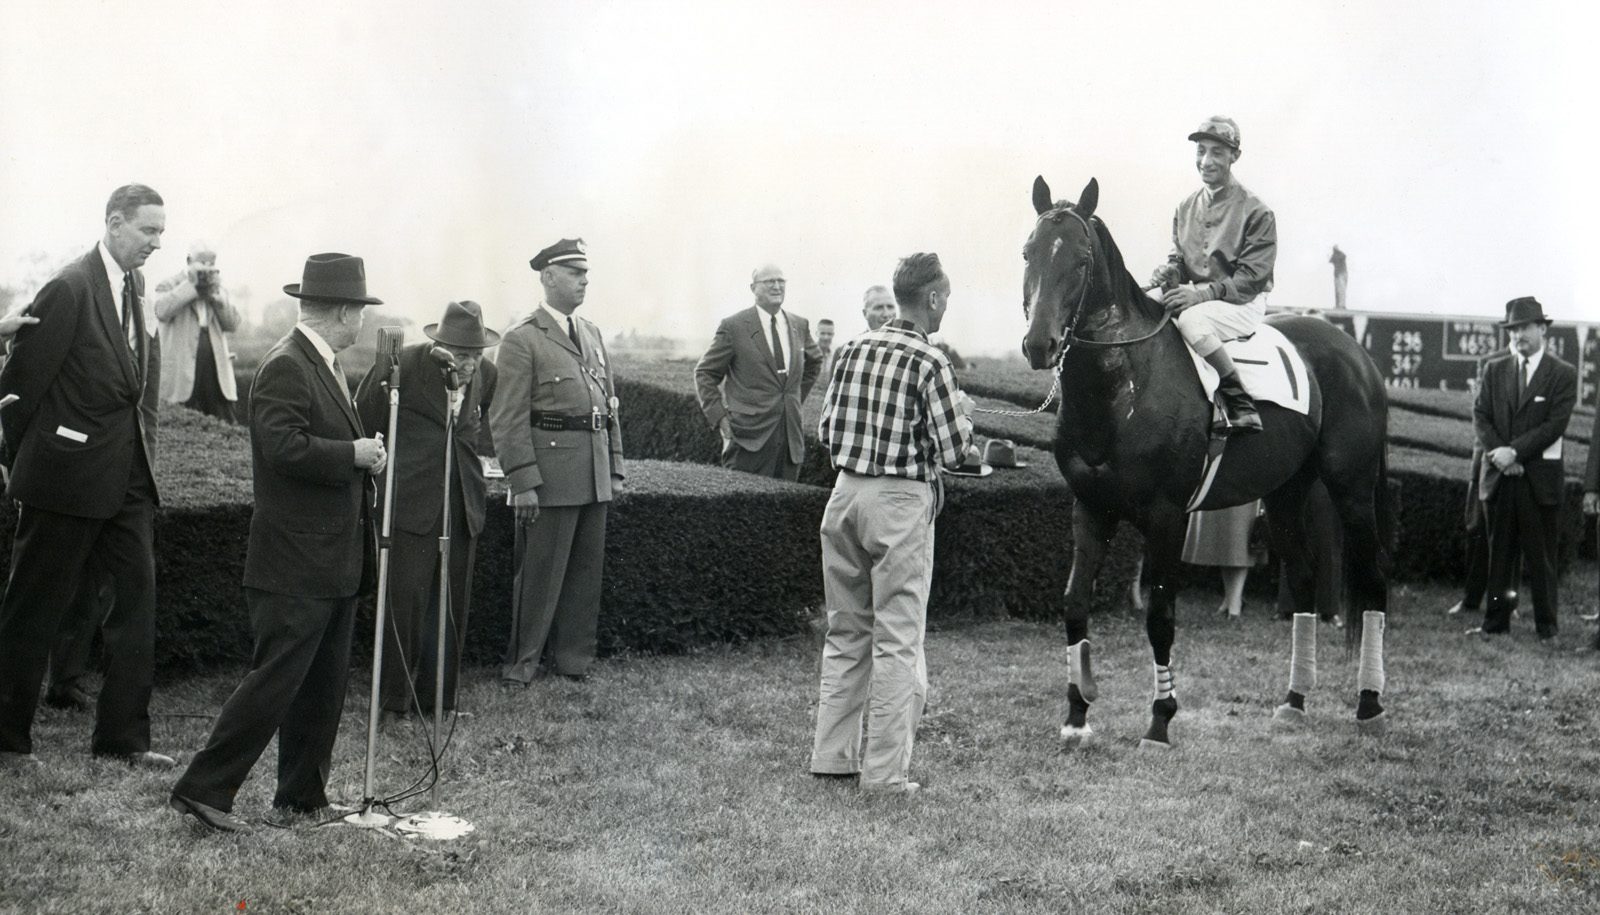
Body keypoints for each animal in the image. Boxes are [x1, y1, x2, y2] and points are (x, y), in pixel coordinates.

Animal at [1024, 175, 1388, 745]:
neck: (1125, 386)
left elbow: (1160, 616)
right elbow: (1075, 603)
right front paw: (1077, 715)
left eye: (1081, 260)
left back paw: (1370, 702)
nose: (1040, 344)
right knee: (1305, 581)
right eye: (1029, 253)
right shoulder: (1091, 508)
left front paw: (1160, 719)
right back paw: (1294, 701)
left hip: (1351, 489)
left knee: (1373, 581)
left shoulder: (1166, 516)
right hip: (1284, 495)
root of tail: (1355, 352)